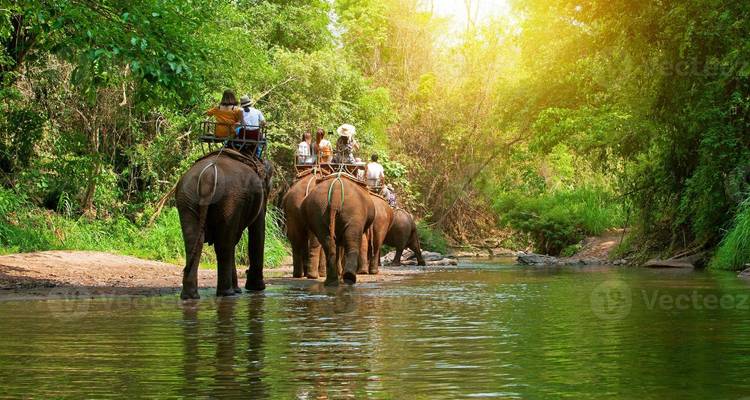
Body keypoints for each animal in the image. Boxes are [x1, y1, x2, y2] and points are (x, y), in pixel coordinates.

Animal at [175, 149, 272, 299]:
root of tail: (208, 175)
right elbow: (257, 232)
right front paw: (256, 288)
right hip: (229, 199)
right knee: (224, 245)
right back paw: (227, 293)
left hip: (187, 197)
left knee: (194, 242)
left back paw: (190, 296)